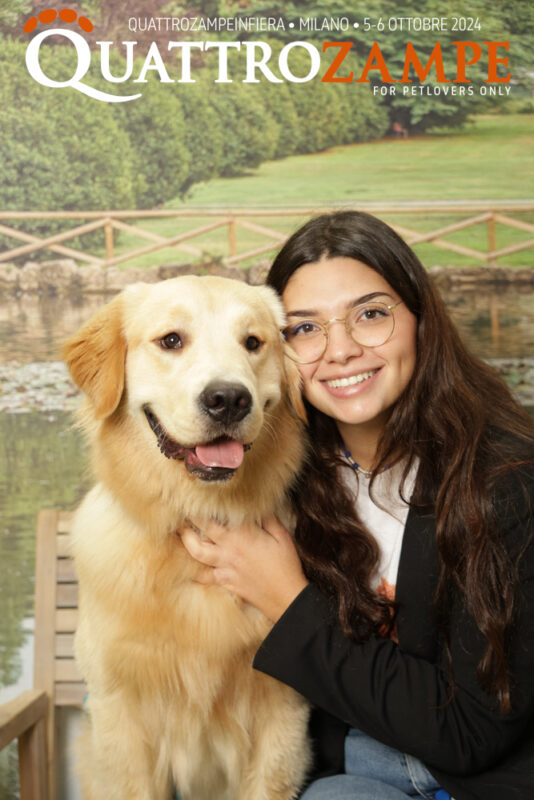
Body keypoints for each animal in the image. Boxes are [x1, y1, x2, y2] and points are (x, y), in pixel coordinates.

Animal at [63, 276, 312, 800]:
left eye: (253, 342)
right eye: (171, 340)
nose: (229, 399)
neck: (196, 518)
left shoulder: (283, 715)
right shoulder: (119, 715)